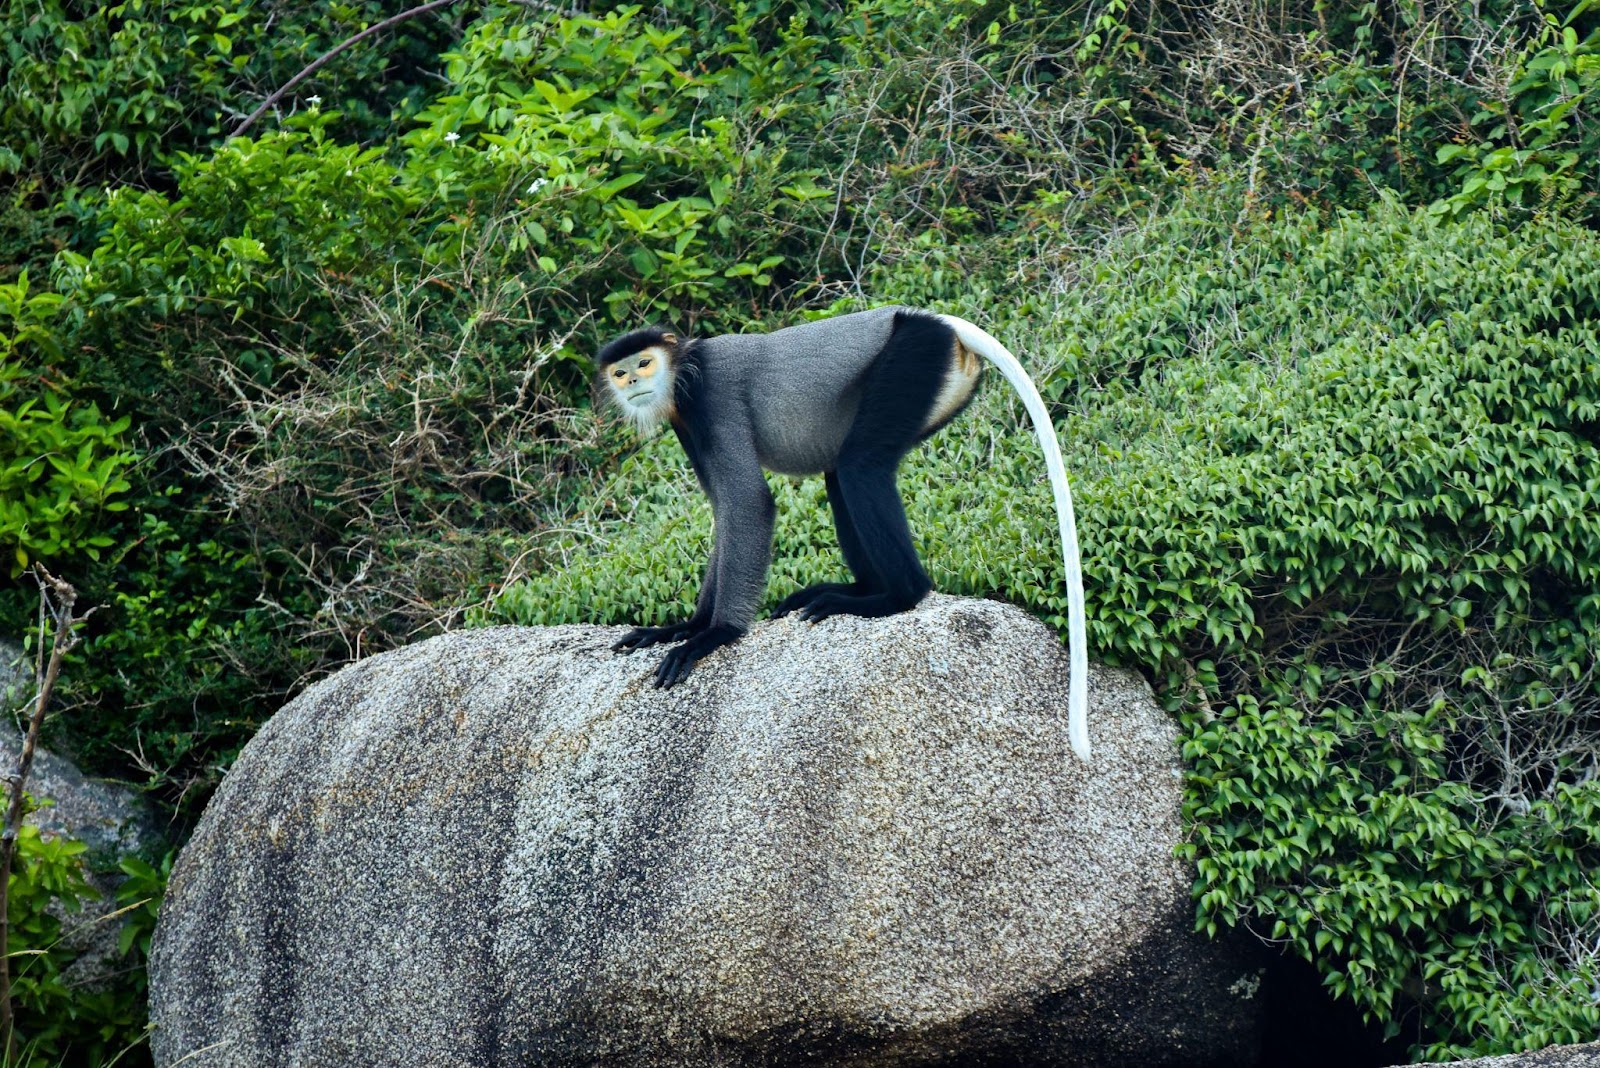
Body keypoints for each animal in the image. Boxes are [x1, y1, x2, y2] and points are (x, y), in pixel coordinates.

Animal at [595, 303, 1094, 764]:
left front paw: (714, 634)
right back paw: (860, 589)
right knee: (840, 472)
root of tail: (935, 319)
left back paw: (896, 596)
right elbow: (724, 508)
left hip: (918, 354)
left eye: (644, 363)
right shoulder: (686, 420)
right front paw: (685, 627)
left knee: (860, 464)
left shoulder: (709, 396)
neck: (683, 367)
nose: (632, 383)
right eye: (620, 372)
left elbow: (748, 502)